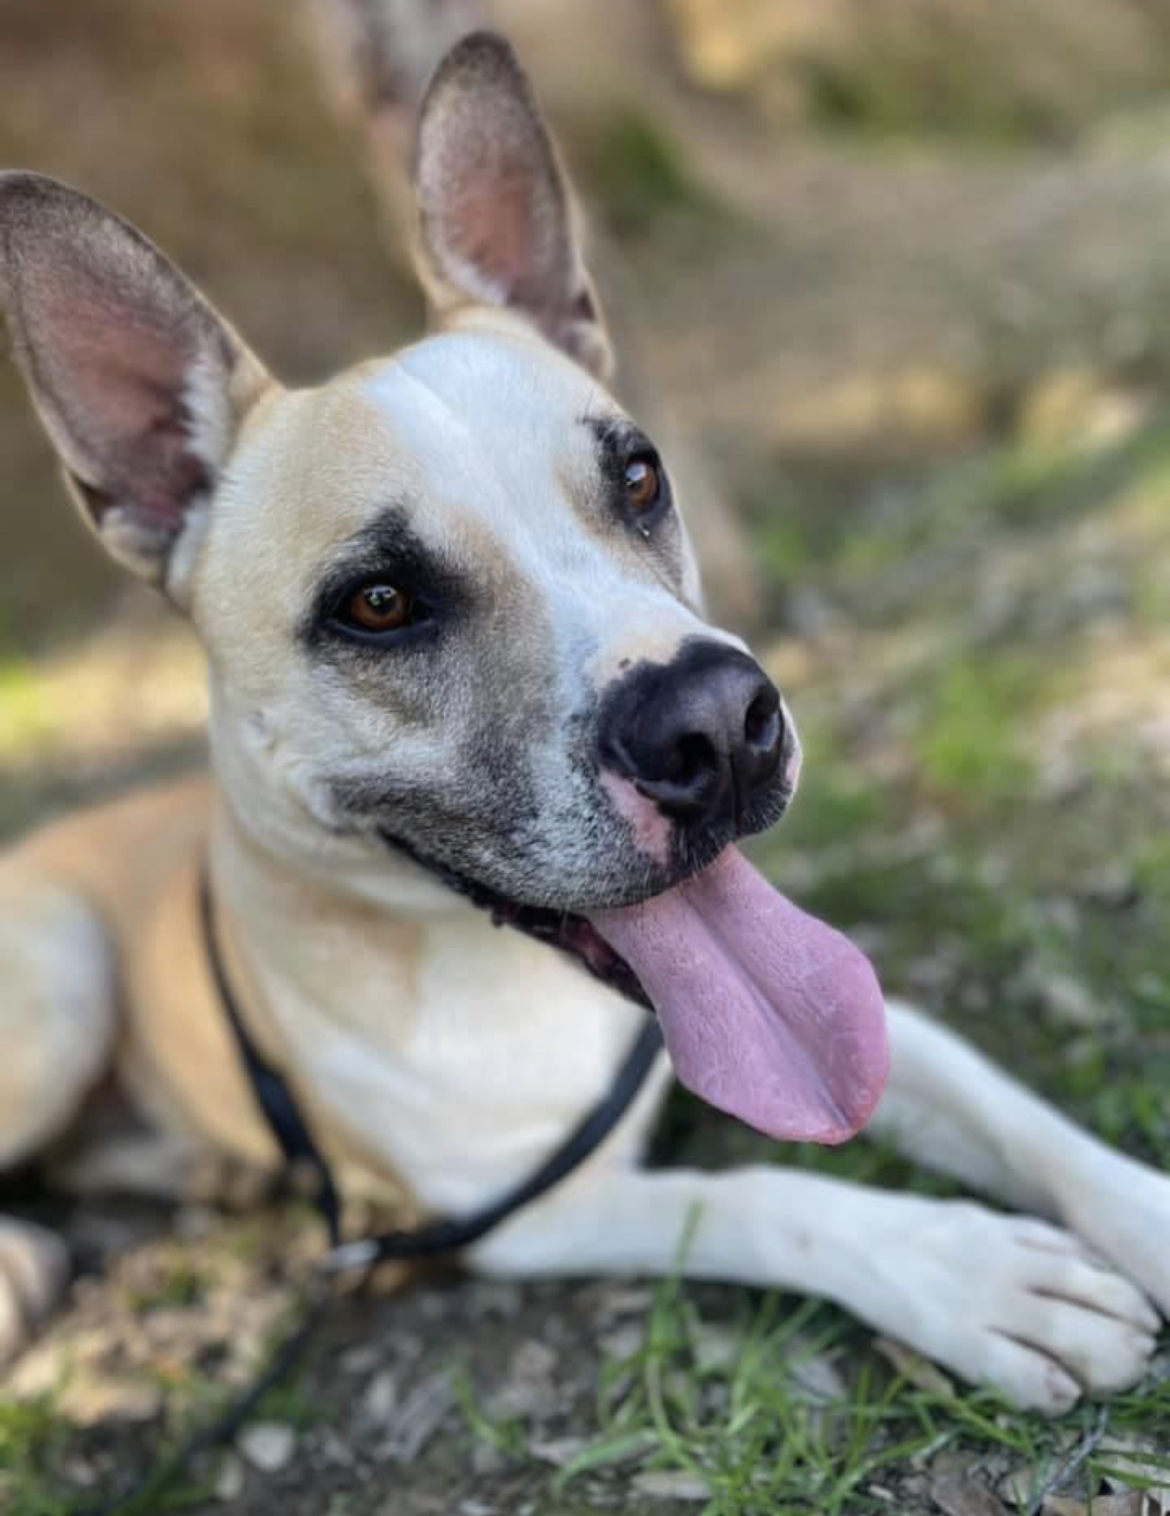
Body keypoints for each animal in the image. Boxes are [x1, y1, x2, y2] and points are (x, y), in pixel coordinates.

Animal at [2, 26, 1170, 1418]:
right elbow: (767, 1190)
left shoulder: (863, 1018)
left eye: (639, 476)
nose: (718, 725)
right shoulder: (527, 1214)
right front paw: (974, 1271)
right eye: (378, 603)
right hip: (58, 978)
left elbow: (1014, 1114)